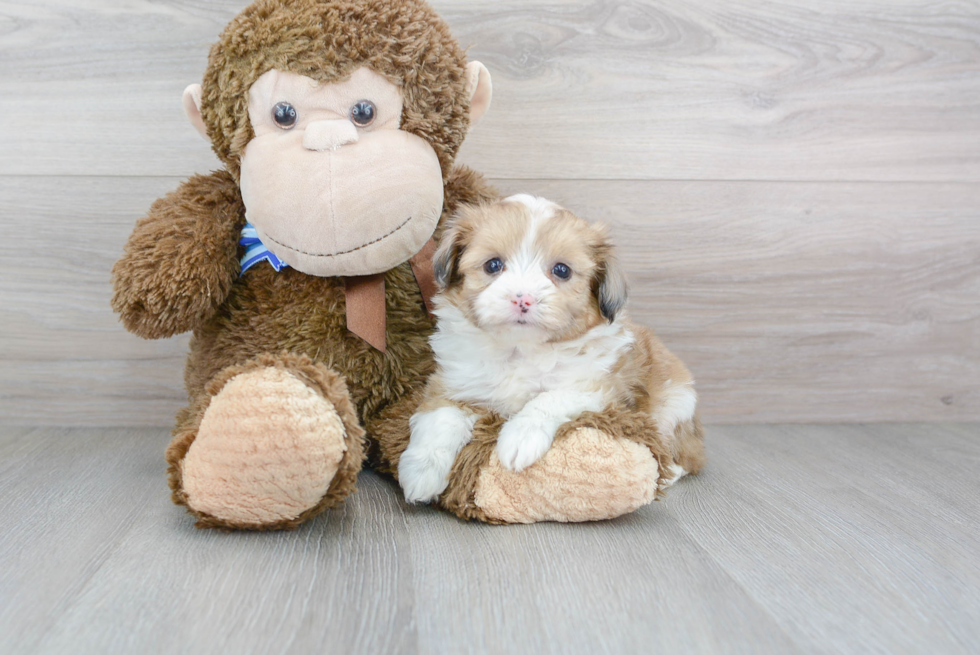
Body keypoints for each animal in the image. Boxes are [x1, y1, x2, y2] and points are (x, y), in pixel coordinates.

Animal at [398, 193, 704, 502]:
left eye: (561, 270)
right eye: (493, 265)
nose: (522, 299)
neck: (520, 350)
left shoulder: (599, 388)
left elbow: (550, 398)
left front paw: (520, 436)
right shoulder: (454, 382)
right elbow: (441, 417)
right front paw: (421, 471)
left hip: (674, 407)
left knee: (681, 456)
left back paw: (667, 476)